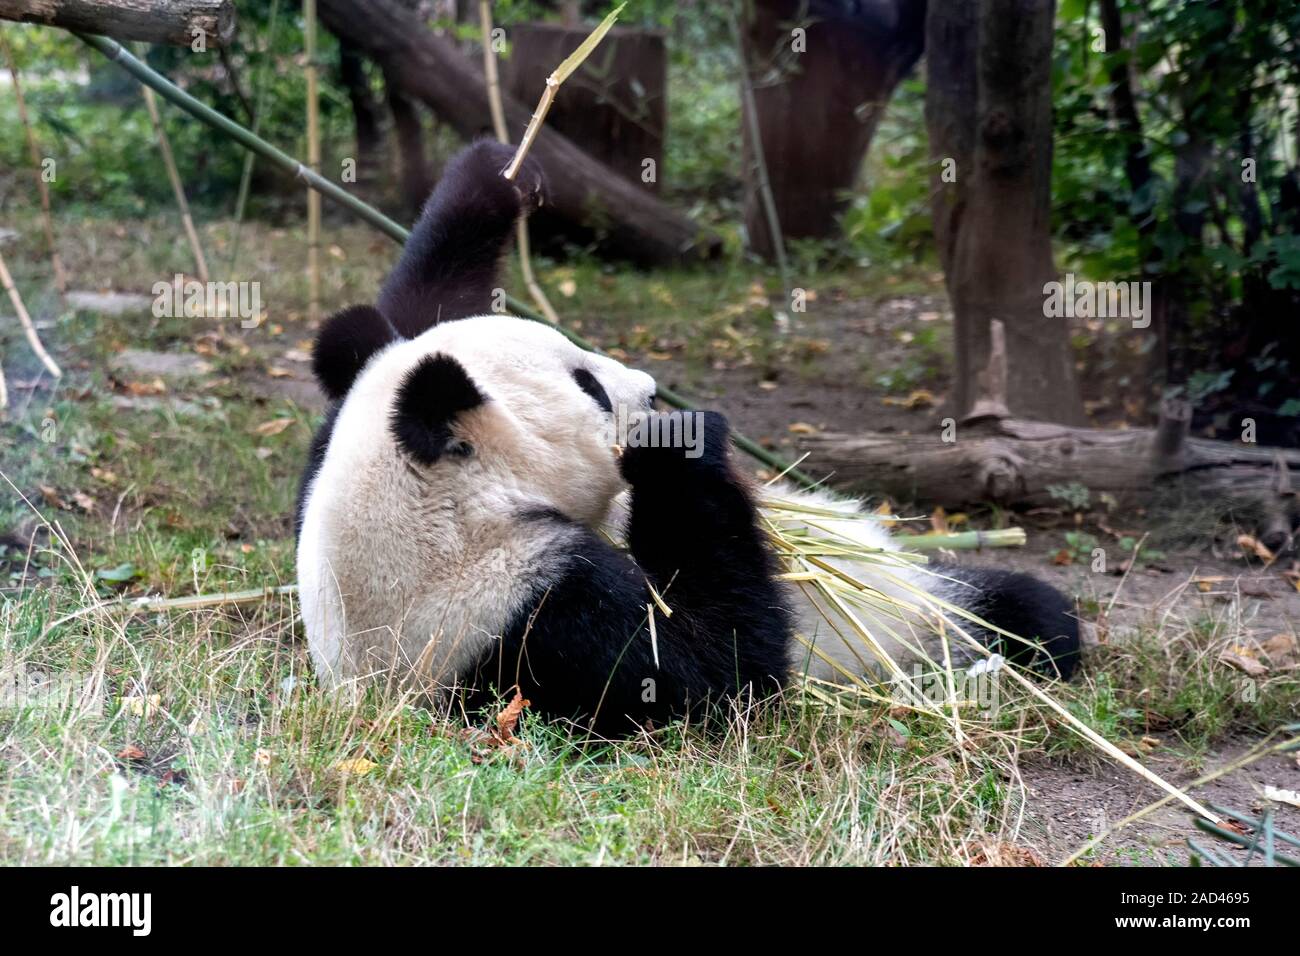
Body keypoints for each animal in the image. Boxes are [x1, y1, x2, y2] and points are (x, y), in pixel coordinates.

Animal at [295, 139, 1079, 736]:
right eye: (588, 386)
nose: (649, 389)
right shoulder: (527, 615)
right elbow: (720, 676)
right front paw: (680, 443)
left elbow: (407, 316)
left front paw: (500, 173)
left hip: (931, 591)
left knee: (1002, 603)